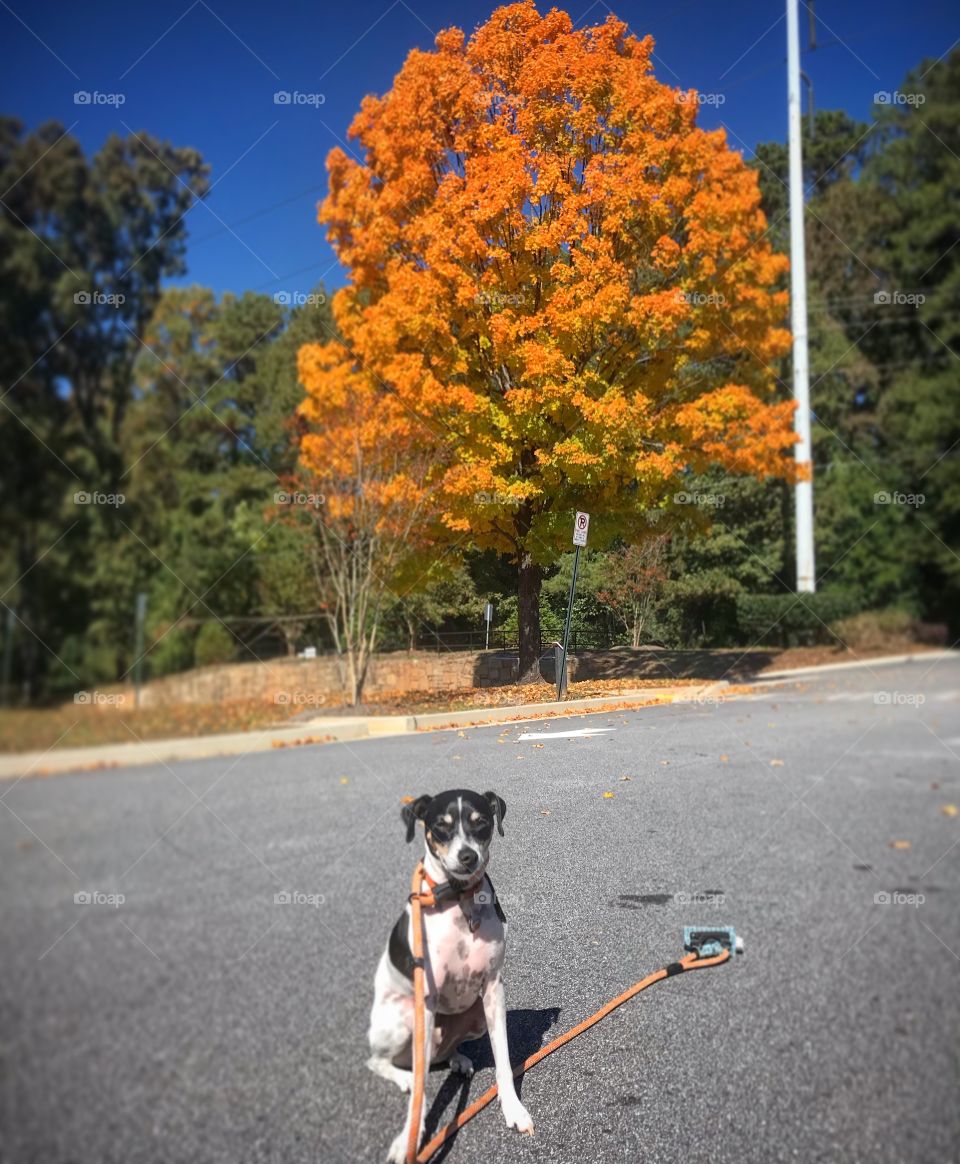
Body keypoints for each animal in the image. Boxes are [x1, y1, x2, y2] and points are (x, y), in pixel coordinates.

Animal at [367, 786, 532, 1159]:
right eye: (440, 826)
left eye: (481, 822)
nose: (467, 856)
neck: (459, 900)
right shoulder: (426, 1002)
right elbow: (422, 1095)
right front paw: (408, 1139)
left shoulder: (493, 990)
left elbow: (503, 1061)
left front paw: (512, 1108)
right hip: (402, 1021)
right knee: (381, 1062)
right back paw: (405, 1078)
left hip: (474, 1019)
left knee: (439, 1056)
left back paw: (457, 1060)